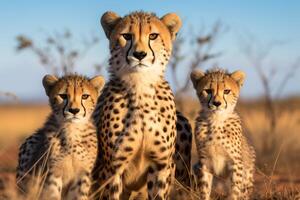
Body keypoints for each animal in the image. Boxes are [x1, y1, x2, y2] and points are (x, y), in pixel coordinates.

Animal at [93, 11, 192, 200]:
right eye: (126, 36)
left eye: (153, 36)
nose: (139, 54)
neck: (140, 84)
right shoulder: (113, 169)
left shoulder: (160, 166)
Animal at [191, 68, 254, 199]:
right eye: (208, 91)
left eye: (226, 91)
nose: (217, 103)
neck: (216, 120)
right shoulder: (204, 162)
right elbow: (204, 189)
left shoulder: (236, 163)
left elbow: (234, 190)